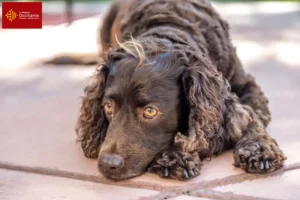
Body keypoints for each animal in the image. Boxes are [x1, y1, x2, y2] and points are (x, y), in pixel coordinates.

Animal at [72, 0, 286, 180]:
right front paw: (174, 155)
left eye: (150, 111)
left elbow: (252, 117)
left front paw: (259, 148)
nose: (107, 164)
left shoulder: (248, 88)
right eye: (108, 106)